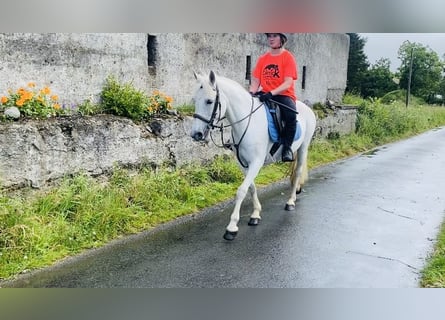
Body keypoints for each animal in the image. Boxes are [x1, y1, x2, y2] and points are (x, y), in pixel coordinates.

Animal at [191, 70, 316, 240]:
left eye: (209, 101)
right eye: (194, 101)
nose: (196, 134)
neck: (247, 123)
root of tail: (307, 108)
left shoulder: (256, 162)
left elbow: (241, 191)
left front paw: (231, 227)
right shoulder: (243, 163)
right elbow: (251, 187)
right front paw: (255, 214)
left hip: (304, 147)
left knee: (297, 173)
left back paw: (291, 201)